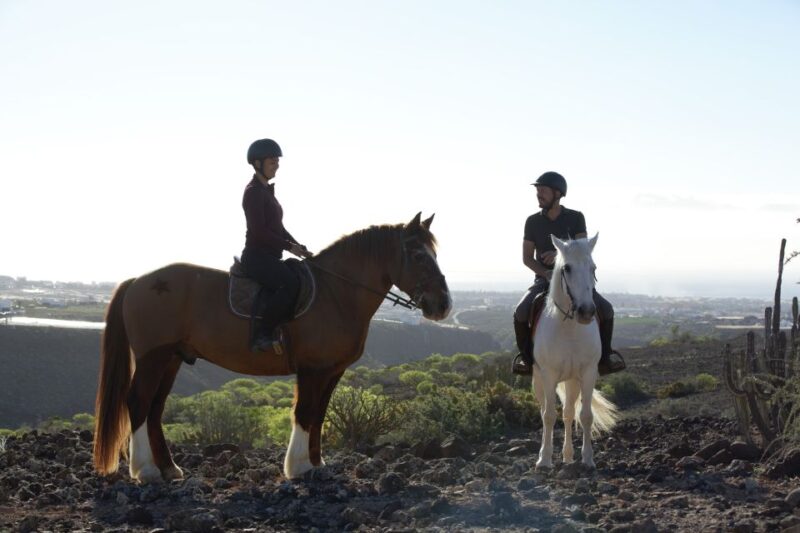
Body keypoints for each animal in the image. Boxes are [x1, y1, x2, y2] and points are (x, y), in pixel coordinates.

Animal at [93, 213, 451, 483]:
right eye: (418, 255)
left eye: (435, 254)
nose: (443, 305)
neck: (336, 293)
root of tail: (137, 281)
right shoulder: (312, 370)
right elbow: (305, 412)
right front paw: (299, 467)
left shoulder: (332, 371)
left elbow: (320, 414)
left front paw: (317, 464)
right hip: (152, 358)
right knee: (138, 402)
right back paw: (146, 471)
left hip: (172, 358)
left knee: (154, 408)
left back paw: (169, 468)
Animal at [532, 234, 618, 470]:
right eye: (567, 268)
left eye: (593, 267)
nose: (586, 312)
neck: (570, 328)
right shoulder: (548, 375)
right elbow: (549, 416)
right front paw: (544, 459)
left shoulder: (588, 373)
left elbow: (585, 415)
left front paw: (588, 459)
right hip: (538, 379)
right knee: (545, 411)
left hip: (572, 381)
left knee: (569, 413)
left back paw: (568, 456)